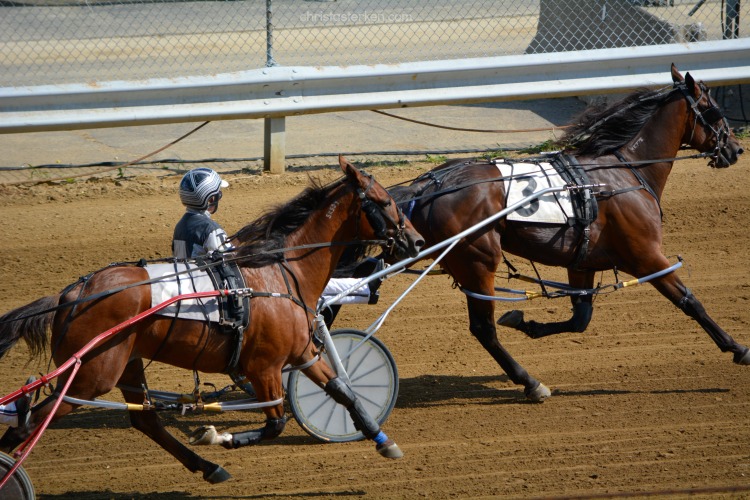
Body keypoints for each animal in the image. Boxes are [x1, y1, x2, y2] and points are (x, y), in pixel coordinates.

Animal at [0, 157, 424, 484]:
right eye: (386, 201)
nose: (417, 241)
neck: (282, 271)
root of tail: (73, 293)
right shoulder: (264, 367)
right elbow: (276, 423)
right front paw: (220, 437)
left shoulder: (303, 353)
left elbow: (344, 391)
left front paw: (383, 440)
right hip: (91, 374)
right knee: (34, 419)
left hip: (127, 364)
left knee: (146, 421)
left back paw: (208, 468)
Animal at [388, 66, 748, 402]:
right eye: (715, 111)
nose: (735, 149)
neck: (621, 172)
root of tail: (427, 185)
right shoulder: (646, 256)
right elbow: (690, 301)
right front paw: (738, 348)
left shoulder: (582, 263)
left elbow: (580, 319)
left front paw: (525, 323)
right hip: (478, 261)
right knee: (483, 329)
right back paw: (530, 383)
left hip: (464, 262)